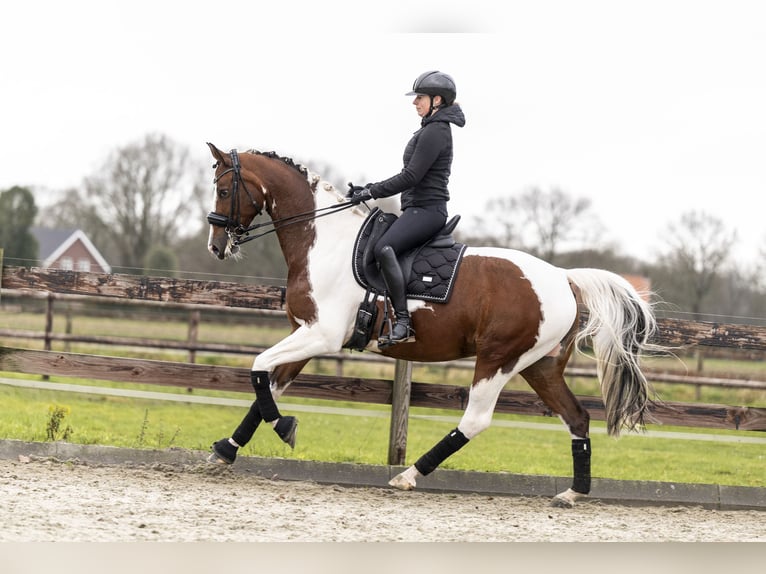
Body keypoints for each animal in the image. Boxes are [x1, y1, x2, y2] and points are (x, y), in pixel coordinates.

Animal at [206, 143, 664, 508]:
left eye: (224, 190)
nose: (216, 246)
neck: (326, 242)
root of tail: (564, 278)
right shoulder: (306, 333)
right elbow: (267, 381)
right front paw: (226, 449)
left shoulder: (321, 335)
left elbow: (257, 369)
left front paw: (283, 427)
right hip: (540, 366)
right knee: (577, 418)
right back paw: (573, 493)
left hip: (498, 359)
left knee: (475, 420)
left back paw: (408, 475)